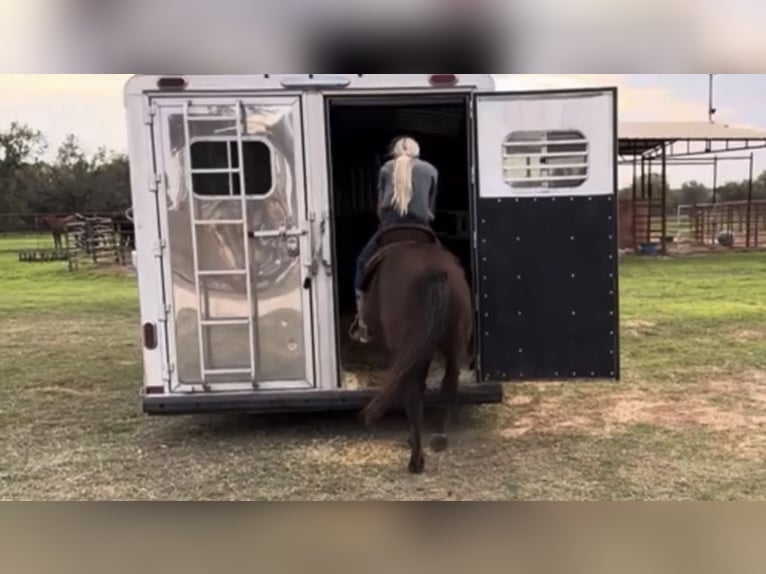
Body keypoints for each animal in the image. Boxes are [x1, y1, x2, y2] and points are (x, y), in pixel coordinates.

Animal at [360, 225, 474, 476]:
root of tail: (433, 272)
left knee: (410, 392)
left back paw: (416, 460)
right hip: (453, 346)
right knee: (449, 382)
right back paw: (439, 438)